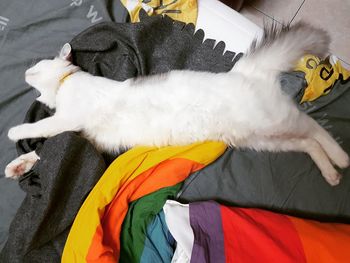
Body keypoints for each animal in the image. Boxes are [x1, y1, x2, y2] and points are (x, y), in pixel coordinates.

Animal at [4, 23, 348, 187]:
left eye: (37, 67)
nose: (25, 71)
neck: (66, 84)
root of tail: (244, 71)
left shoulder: (69, 119)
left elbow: (42, 127)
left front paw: (13, 132)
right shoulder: (87, 138)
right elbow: (42, 151)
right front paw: (19, 165)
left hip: (274, 122)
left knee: (313, 127)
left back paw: (340, 158)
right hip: (263, 139)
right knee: (306, 142)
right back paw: (331, 173)